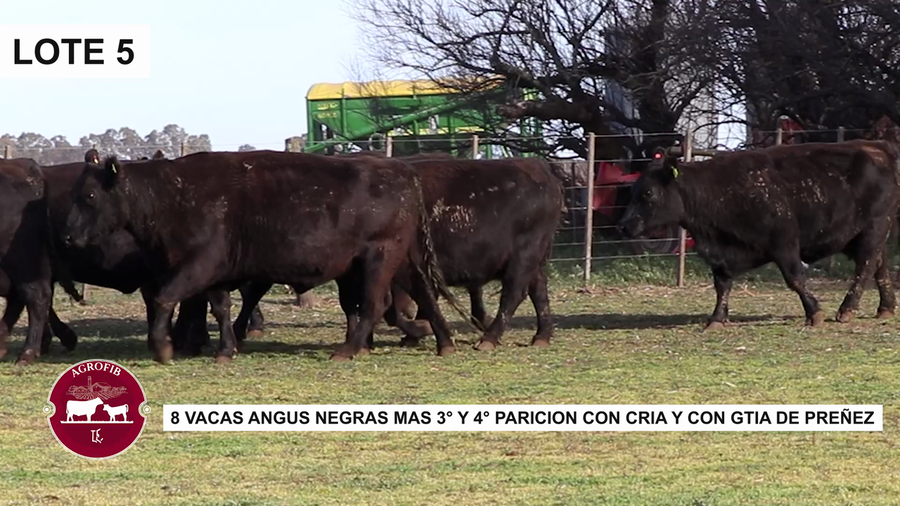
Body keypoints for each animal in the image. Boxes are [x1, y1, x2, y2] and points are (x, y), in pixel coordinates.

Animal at [63, 150, 467, 363]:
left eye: (91, 197)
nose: (67, 236)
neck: (174, 196)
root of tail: (401, 169)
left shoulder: (197, 266)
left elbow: (164, 299)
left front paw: (163, 347)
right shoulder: (217, 274)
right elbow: (221, 308)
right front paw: (226, 349)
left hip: (379, 257)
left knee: (374, 303)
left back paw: (348, 349)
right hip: (402, 259)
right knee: (425, 295)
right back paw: (442, 342)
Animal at [618, 140, 900, 328]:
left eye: (648, 193)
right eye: (634, 191)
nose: (624, 226)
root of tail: (877, 147)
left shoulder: (784, 243)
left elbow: (795, 279)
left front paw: (814, 313)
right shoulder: (721, 255)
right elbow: (722, 285)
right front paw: (716, 319)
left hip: (873, 228)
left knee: (865, 266)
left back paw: (847, 309)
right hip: (868, 234)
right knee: (879, 265)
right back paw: (885, 308)